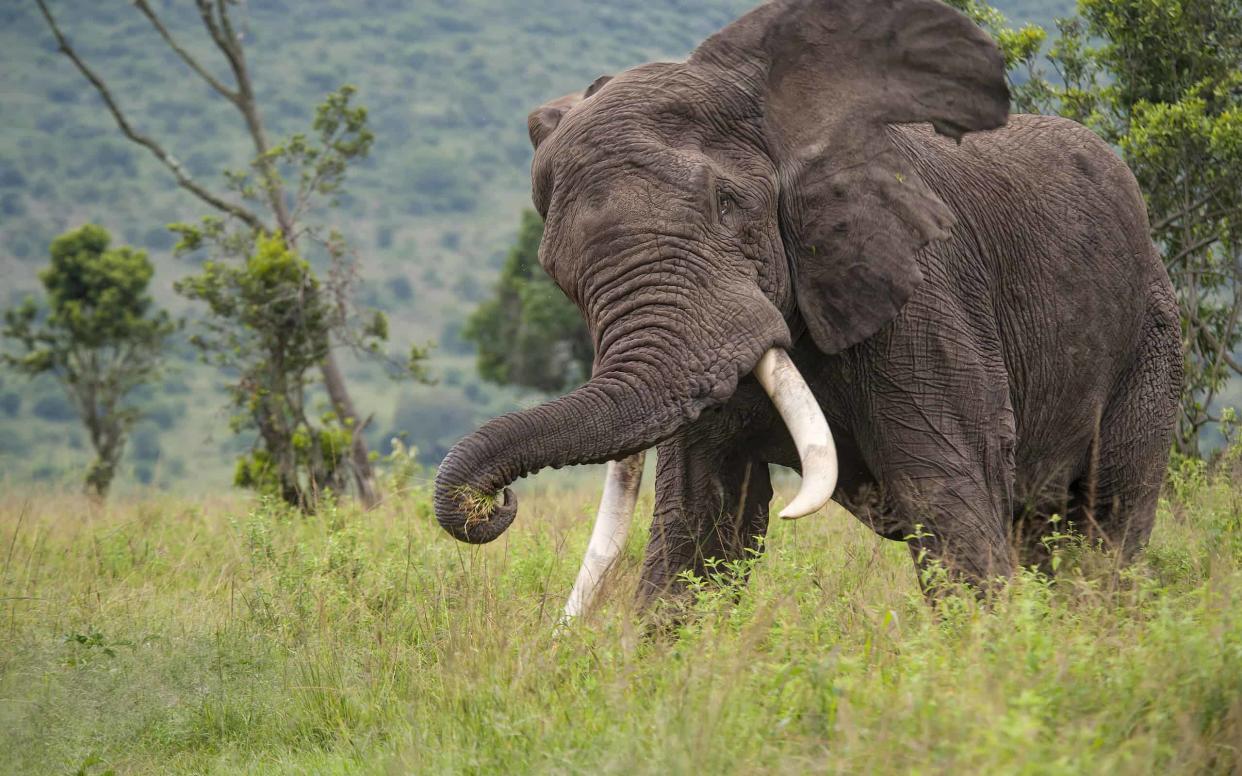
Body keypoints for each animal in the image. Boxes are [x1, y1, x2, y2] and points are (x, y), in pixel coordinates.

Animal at [434, 0, 1182, 618]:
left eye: (727, 206)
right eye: (557, 273)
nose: (491, 503)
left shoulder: (924, 294)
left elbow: (947, 492)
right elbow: (699, 524)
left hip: (1151, 334)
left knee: (1106, 521)